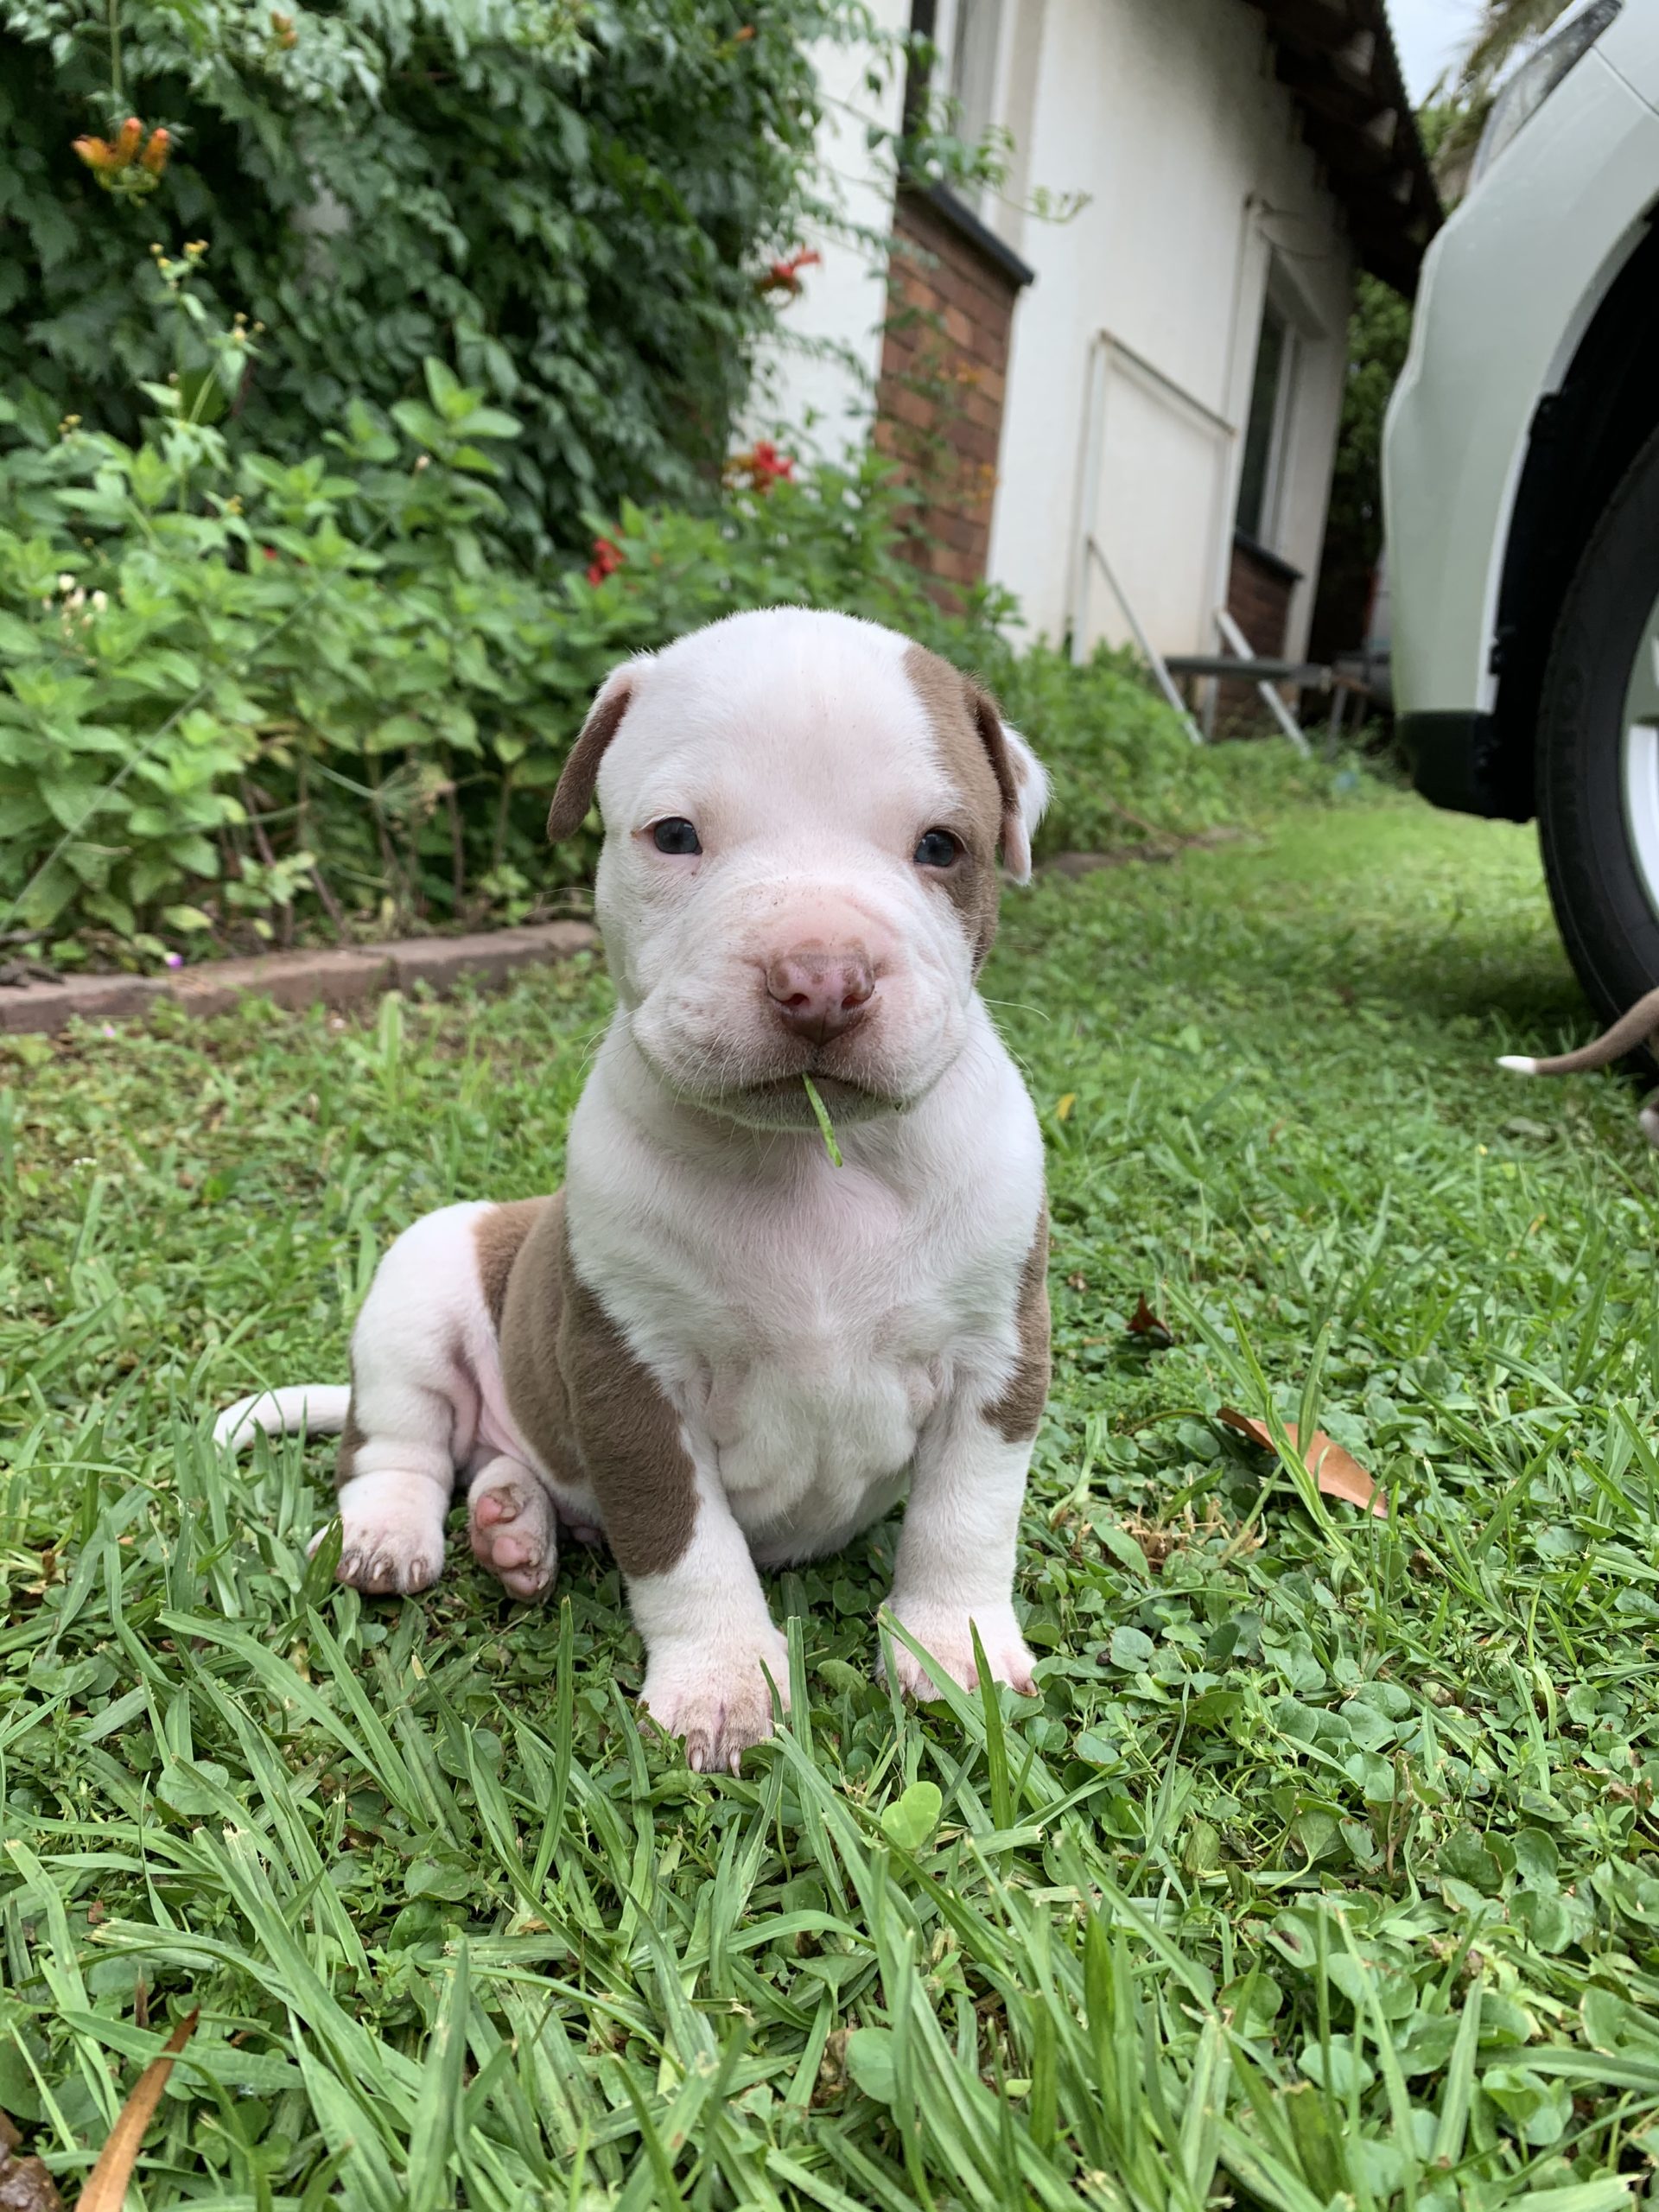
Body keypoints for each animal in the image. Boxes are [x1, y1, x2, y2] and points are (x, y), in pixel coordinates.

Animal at [218, 610, 1052, 1778]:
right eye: (675, 835)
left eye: (942, 847)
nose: (821, 978)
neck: (811, 1158)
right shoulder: (630, 1376)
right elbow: (685, 1545)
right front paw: (720, 1685)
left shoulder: (996, 1356)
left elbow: (966, 1516)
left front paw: (955, 1648)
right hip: (416, 1287)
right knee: (399, 1443)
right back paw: (391, 1534)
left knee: (488, 1462)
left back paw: (513, 1524)